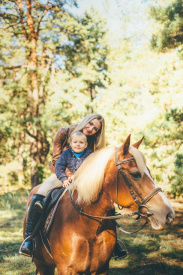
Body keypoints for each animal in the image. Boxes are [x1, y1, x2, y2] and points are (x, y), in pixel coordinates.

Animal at [24, 136, 174, 275]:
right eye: (135, 174)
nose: (169, 214)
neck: (85, 225)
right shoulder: (66, 269)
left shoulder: (101, 268)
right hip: (41, 264)